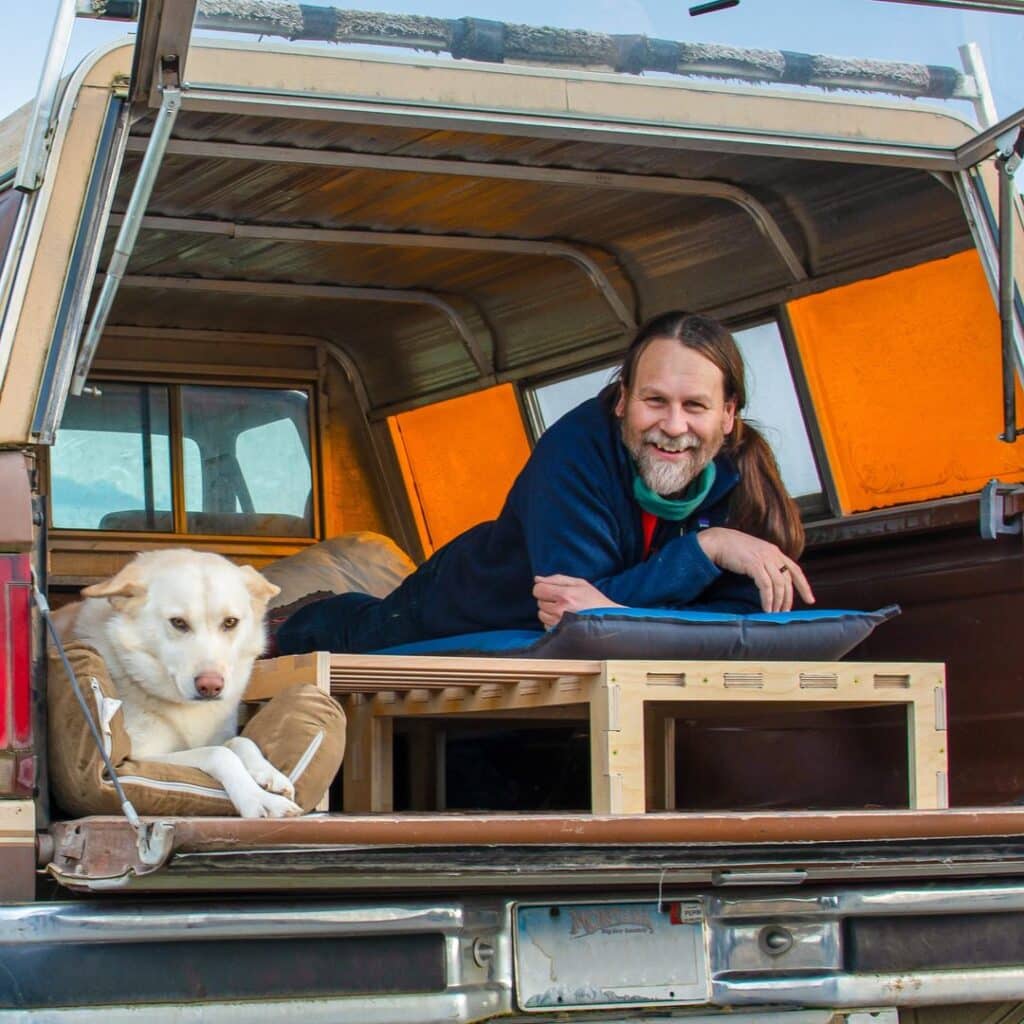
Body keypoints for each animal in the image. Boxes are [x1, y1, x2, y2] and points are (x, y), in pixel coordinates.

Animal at [53, 548, 299, 819]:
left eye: (230, 622)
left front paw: (269, 773)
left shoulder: (218, 736)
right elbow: (220, 753)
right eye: (178, 623)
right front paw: (259, 798)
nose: (211, 686)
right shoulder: (139, 758)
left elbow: (239, 741)